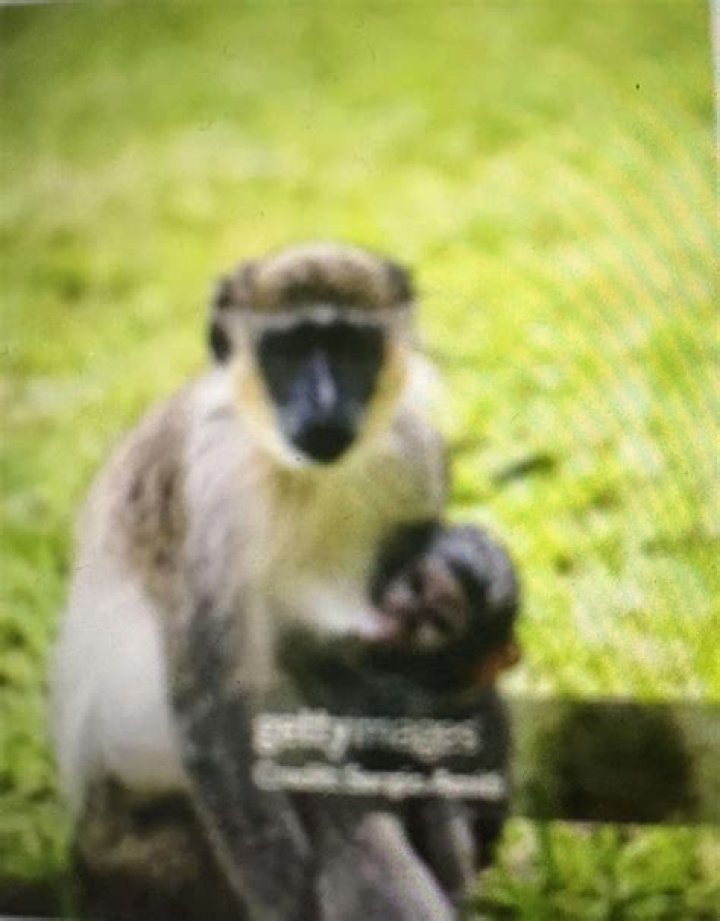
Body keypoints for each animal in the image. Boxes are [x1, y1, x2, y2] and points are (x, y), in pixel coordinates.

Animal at [51, 242, 516, 921]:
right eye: (290, 351)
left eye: (350, 348)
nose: (322, 406)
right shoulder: (212, 487)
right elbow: (217, 706)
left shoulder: (416, 452)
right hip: (144, 841)